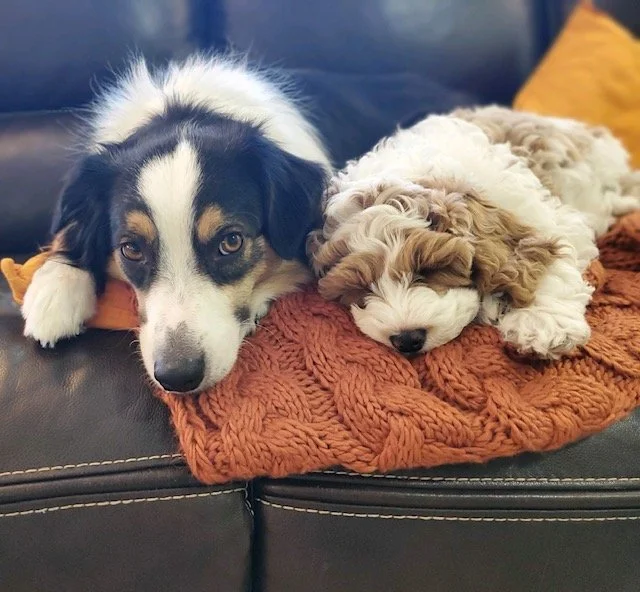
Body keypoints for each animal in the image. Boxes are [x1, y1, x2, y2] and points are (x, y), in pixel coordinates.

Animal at [22, 54, 331, 393]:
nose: (177, 377)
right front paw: (57, 288)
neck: (189, 110)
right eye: (131, 249)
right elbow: (69, 229)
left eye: (231, 242)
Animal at [308, 105, 640, 358]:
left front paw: (541, 323)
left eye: (429, 269)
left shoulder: (549, 221)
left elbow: (544, 259)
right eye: (361, 287)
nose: (407, 339)